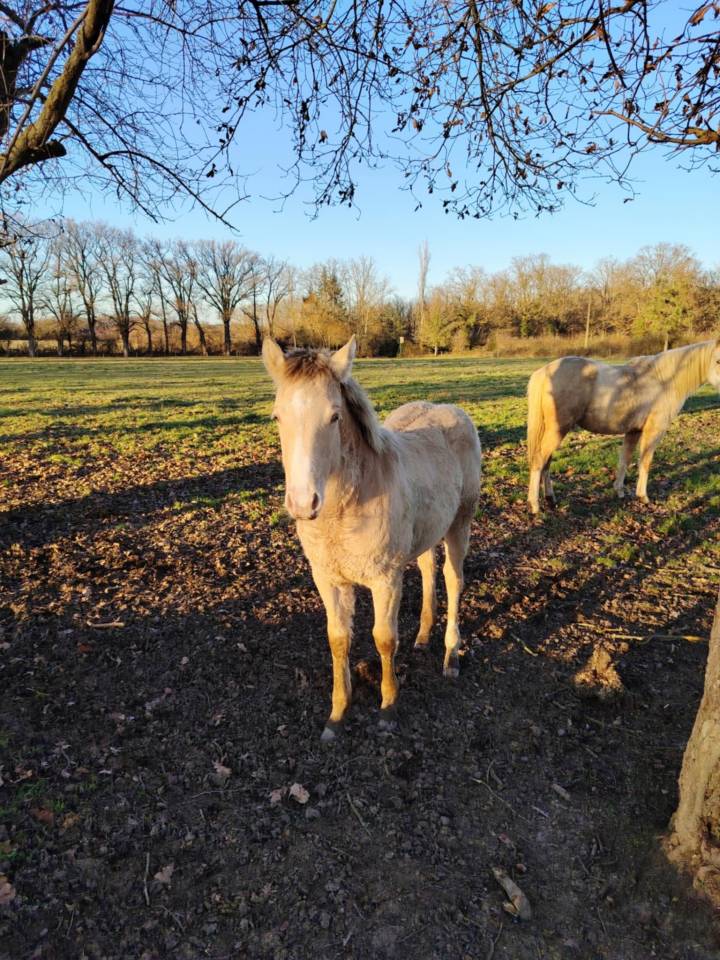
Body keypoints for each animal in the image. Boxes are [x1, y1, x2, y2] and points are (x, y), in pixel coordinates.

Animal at [262, 336, 482, 741]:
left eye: (334, 417)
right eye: (277, 417)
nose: (302, 503)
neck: (344, 509)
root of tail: (449, 409)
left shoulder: (386, 579)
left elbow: (384, 638)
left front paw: (388, 708)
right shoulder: (329, 579)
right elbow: (337, 638)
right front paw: (337, 714)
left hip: (460, 524)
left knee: (454, 580)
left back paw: (451, 657)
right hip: (427, 530)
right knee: (428, 570)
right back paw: (423, 637)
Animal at [527, 338, 720, 514]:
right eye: (718, 361)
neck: (663, 380)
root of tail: (545, 372)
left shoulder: (633, 431)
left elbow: (624, 460)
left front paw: (619, 491)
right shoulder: (653, 431)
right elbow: (645, 461)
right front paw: (643, 497)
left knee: (546, 461)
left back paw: (550, 500)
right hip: (559, 429)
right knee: (539, 460)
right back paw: (535, 505)